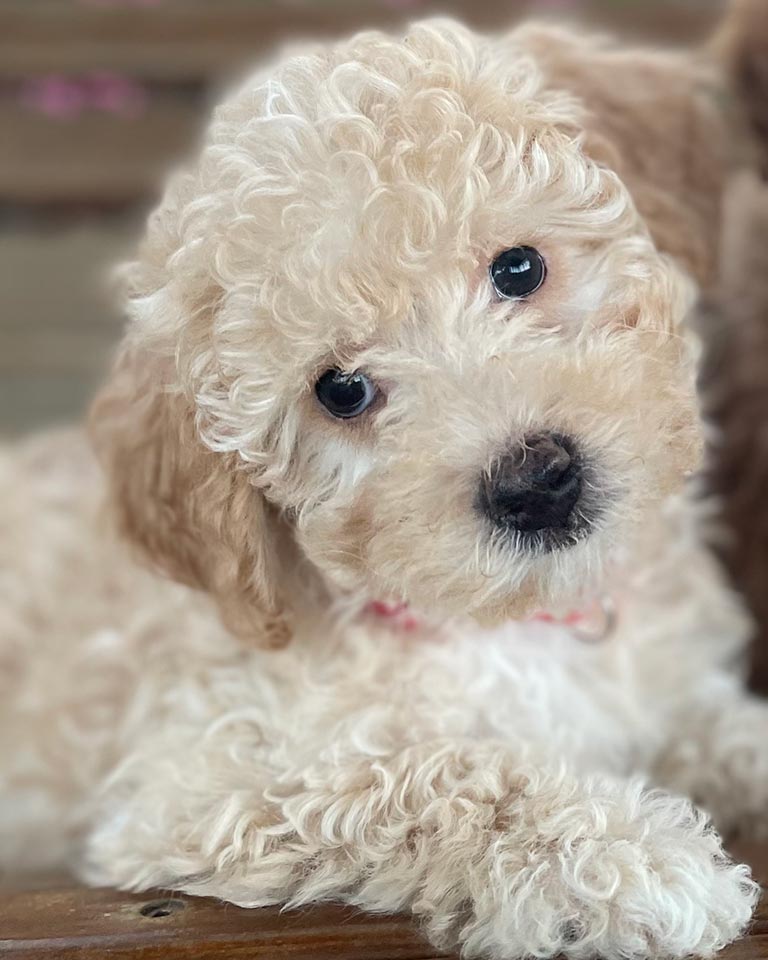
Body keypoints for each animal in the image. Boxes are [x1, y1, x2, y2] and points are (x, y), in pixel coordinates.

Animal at [1, 7, 768, 960]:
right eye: (341, 391)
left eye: (519, 268)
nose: (536, 483)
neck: (523, 623)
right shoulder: (213, 777)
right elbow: (436, 775)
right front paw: (630, 858)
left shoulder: (668, 690)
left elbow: (723, 727)